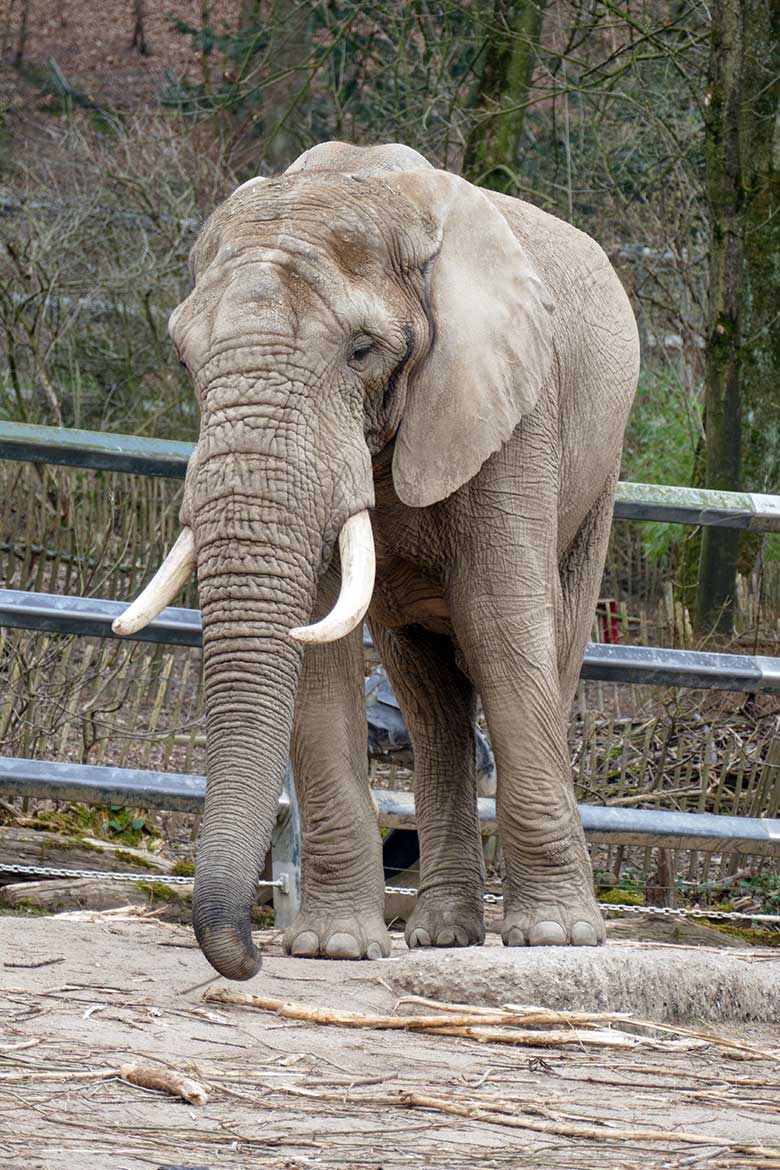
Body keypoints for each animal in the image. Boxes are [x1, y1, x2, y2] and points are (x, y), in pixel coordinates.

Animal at [114, 139, 640, 978]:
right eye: (186, 359)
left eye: (362, 350)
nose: (248, 956)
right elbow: (317, 652)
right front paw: (330, 949)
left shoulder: (513, 409)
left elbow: (499, 624)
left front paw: (557, 937)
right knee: (428, 697)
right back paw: (444, 934)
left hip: (599, 474)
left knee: (543, 652)